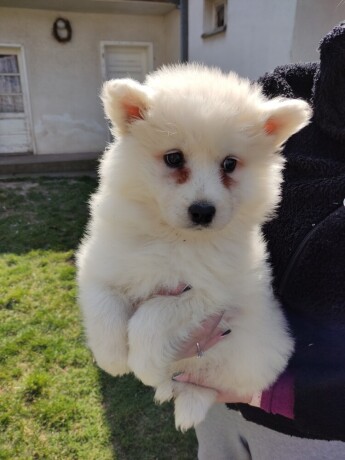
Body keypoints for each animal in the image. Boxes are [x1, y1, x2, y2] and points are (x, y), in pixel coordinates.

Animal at [76, 63, 310, 432]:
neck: (174, 238)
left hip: (254, 355)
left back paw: (185, 401)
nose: (203, 210)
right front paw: (112, 358)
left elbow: (152, 315)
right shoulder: (101, 263)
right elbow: (104, 305)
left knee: (207, 385)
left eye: (229, 164)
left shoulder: (209, 293)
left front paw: (142, 364)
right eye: (174, 158)